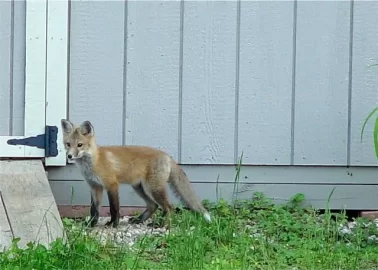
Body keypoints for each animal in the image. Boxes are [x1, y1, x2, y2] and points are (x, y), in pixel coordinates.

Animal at [60, 119, 211, 227]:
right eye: (68, 144)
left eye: (79, 145)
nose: (69, 156)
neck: (94, 161)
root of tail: (167, 155)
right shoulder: (95, 187)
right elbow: (94, 209)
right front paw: (91, 224)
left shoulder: (112, 185)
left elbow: (114, 208)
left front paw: (113, 224)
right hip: (139, 188)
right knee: (153, 206)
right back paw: (139, 220)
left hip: (153, 189)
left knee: (168, 207)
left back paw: (163, 225)